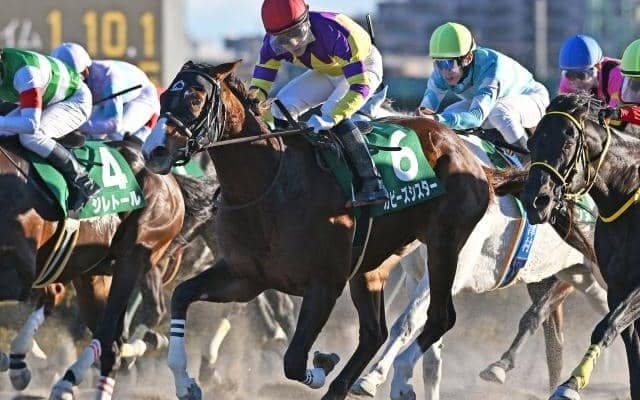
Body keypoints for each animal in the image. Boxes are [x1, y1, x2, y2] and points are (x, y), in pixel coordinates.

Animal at [0, 137, 185, 400]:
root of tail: (170, 182)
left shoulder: (17, 276)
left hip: (133, 258)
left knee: (110, 335)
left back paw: (64, 382)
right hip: (91, 273)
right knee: (111, 343)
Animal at [522, 92, 640, 400]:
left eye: (566, 143)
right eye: (532, 142)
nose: (535, 201)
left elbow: (606, 326)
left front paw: (570, 385)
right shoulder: (617, 285)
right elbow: (627, 338)